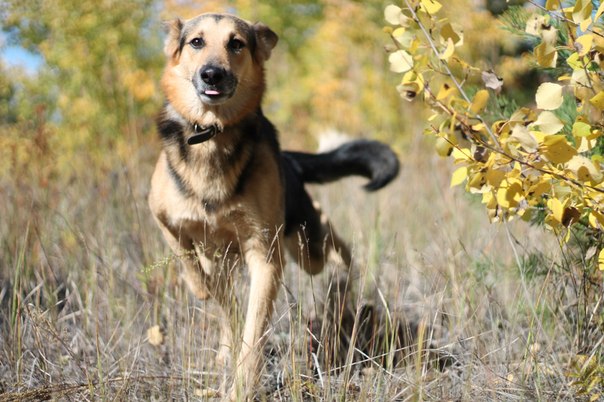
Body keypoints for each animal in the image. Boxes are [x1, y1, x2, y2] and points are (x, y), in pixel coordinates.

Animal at [147, 11, 402, 398]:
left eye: (236, 43)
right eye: (196, 42)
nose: (212, 74)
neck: (213, 133)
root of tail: (289, 161)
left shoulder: (265, 255)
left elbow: (253, 333)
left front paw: (240, 389)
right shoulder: (162, 216)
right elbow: (191, 264)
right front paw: (201, 289)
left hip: (304, 245)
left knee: (328, 237)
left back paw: (346, 275)